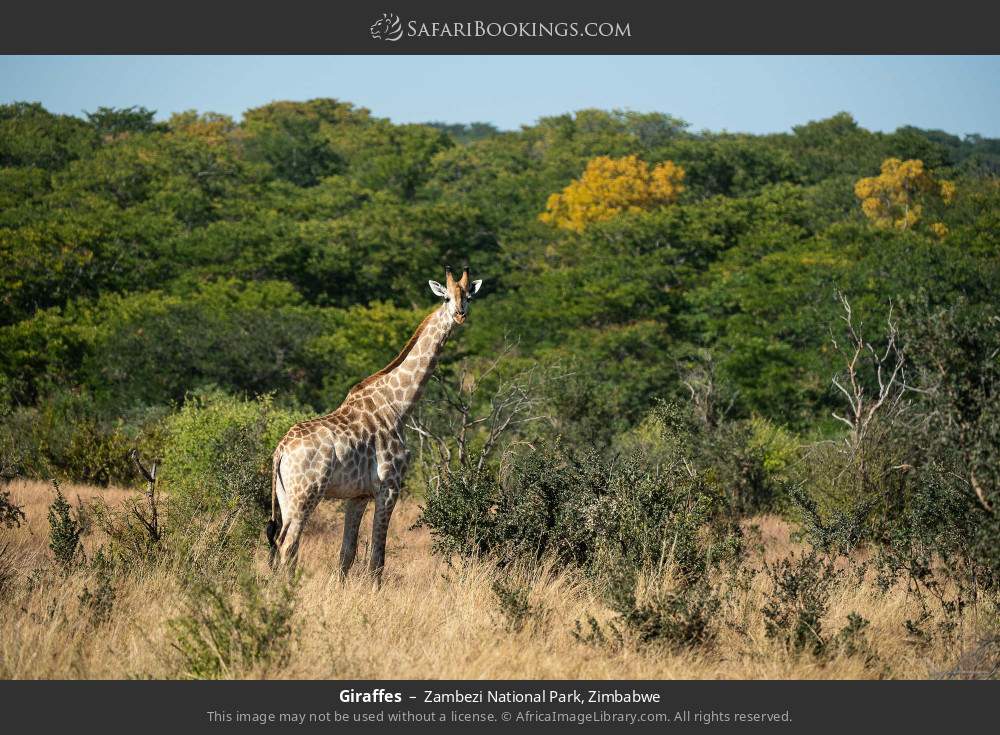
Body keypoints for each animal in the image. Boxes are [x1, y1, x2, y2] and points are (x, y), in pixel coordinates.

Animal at [266, 264, 484, 580]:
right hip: (306, 493)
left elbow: (347, 554)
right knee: (286, 544)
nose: (460, 314)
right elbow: (377, 558)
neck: (398, 406)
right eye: (446, 298)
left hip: (285, 497)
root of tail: (280, 450)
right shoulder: (389, 488)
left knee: (281, 546)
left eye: (468, 295)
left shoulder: (357, 495)